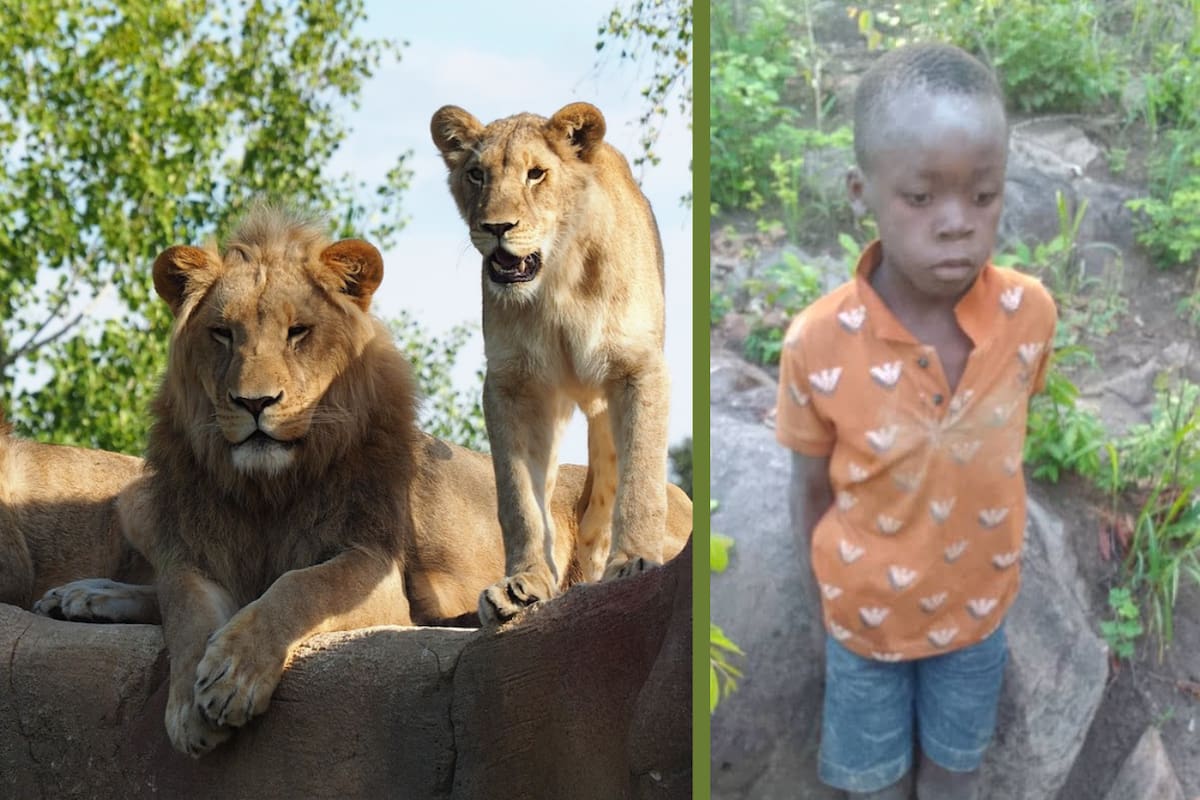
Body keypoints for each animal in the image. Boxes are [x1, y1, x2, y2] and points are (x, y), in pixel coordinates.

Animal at [39, 205, 689, 758]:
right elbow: (186, 612)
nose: (254, 403)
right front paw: (188, 707)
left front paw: (233, 675)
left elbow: (300, 587)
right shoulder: (198, 553)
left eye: (298, 332)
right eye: (222, 334)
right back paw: (83, 595)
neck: (267, 491)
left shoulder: (377, 574)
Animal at [430, 102, 675, 624]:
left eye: (536, 174)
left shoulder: (638, 368)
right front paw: (522, 584)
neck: (557, 283)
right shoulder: (513, 384)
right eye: (477, 174)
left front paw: (635, 562)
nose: (497, 228)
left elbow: (642, 477)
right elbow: (520, 500)